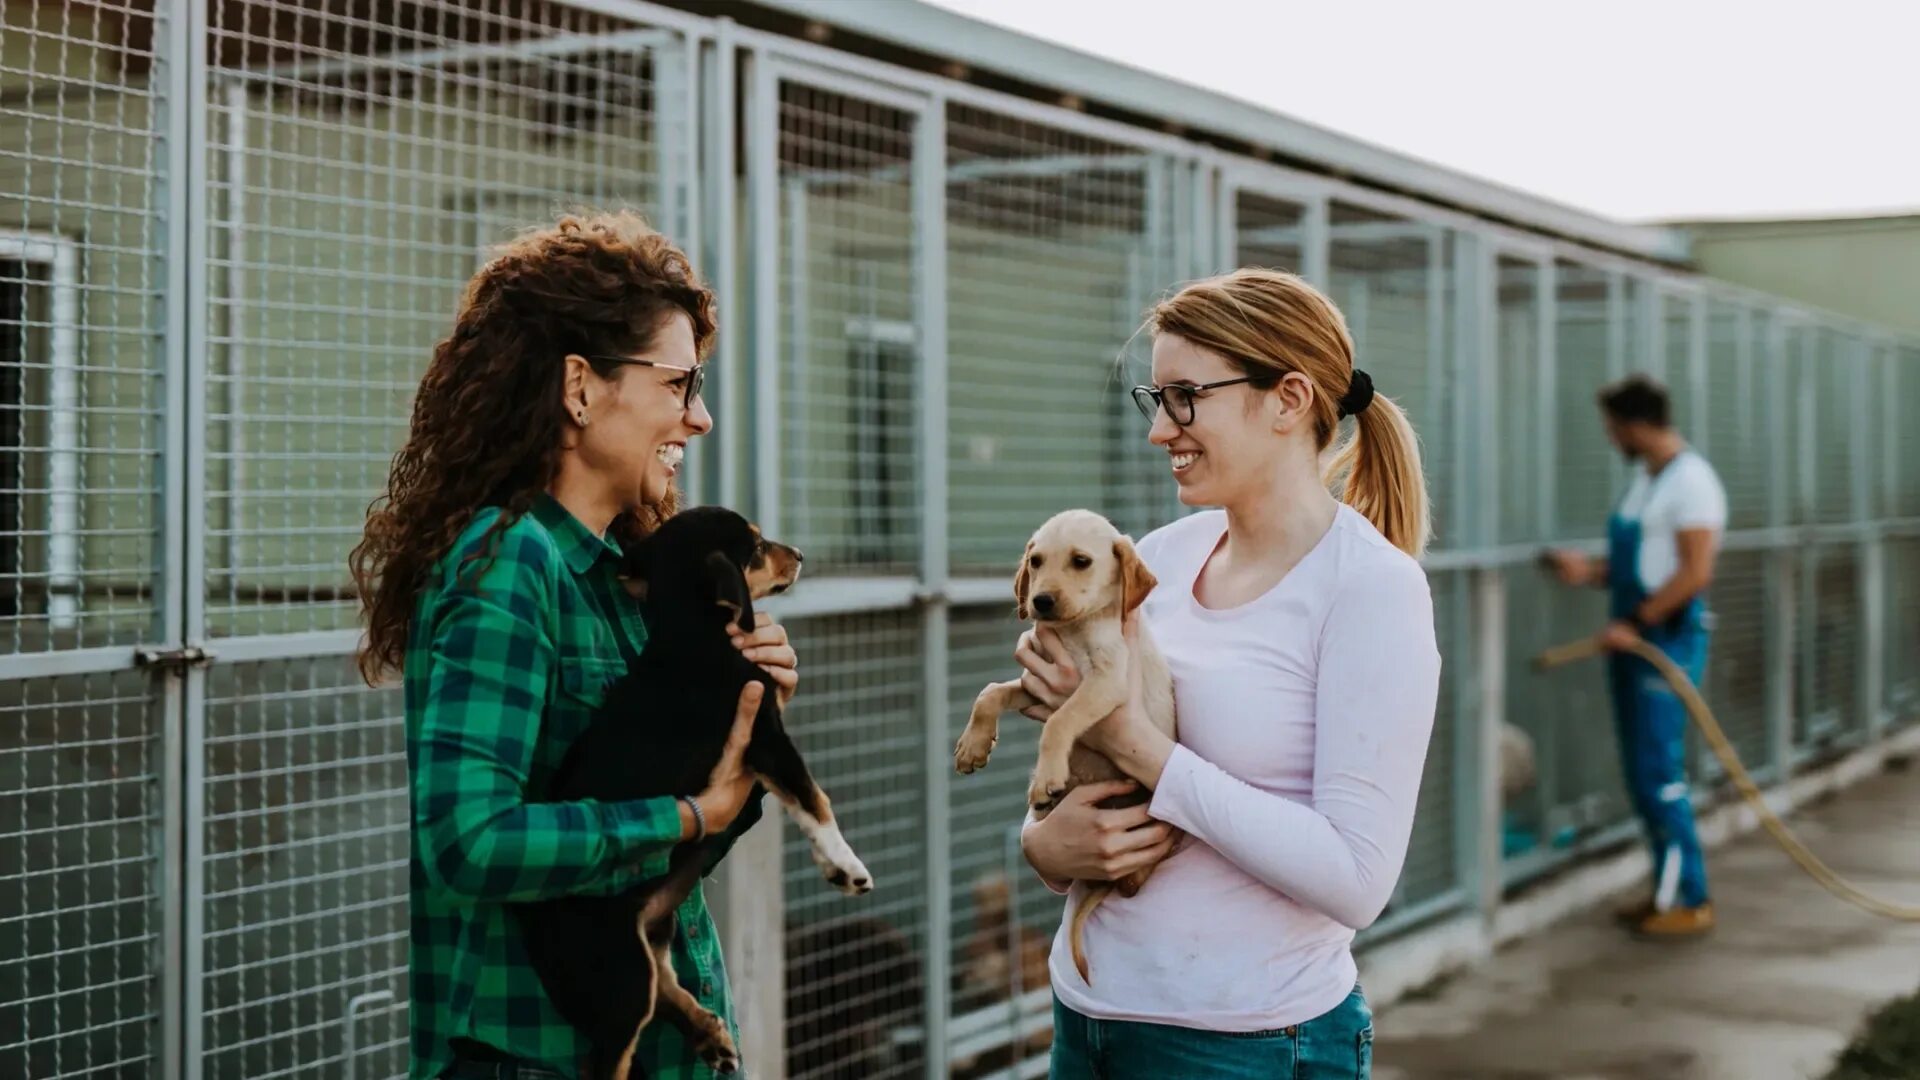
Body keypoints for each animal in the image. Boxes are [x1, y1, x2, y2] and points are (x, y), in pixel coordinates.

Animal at [510, 503, 871, 1076]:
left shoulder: (762, 754)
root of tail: (525, 913)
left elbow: (799, 801)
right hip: (618, 980)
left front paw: (833, 864)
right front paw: (848, 866)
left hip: (653, 929)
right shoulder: (766, 736)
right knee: (625, 1033)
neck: (692, 628)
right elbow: (815, 798)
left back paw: (709, 1034)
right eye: (756, 546)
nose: (799, 554)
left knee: (664, 980)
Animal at [952, 507, 1175, 980]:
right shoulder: (1036, 682)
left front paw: (1047, 775)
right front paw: (972, 747)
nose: (1040, 602)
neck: (1075, 631)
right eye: (1035, 562)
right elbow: (990, 692)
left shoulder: (1105, 683)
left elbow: (1059, 721)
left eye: (1081, 561)